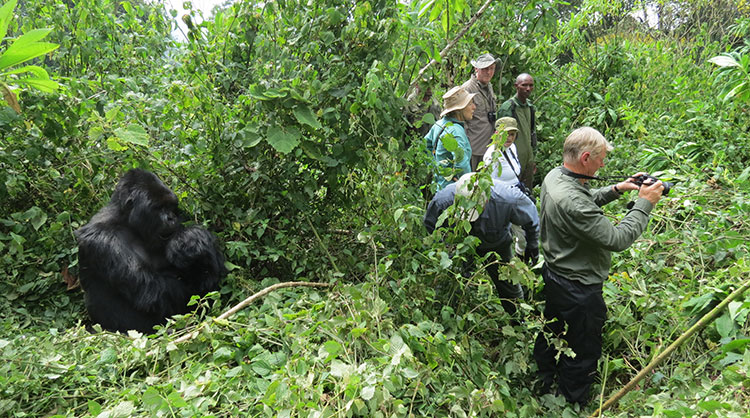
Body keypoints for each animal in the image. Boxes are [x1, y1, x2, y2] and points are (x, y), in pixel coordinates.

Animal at [76, 168, 229, 332]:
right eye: (158, 208)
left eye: (170, 207)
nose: (170, 218)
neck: (127, 222)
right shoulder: (102, 239)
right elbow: (153, 292)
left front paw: (195, 241)